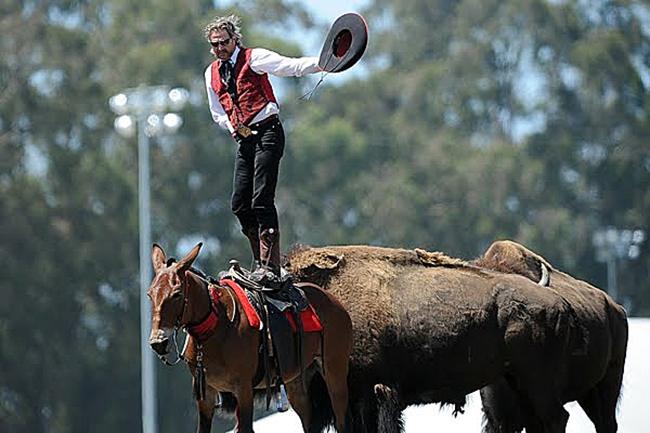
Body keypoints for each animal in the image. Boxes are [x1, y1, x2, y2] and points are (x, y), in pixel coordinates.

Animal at [147, 243, 352, 432]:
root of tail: (336, 303)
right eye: (150, 295)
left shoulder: (243, 389)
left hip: (334, 375)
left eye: (177, 294)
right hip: (298, 384)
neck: (216, 327)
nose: (158, 342)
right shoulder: (206, 395)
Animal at [470, 240, 628, 432]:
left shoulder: (547, 407)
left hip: (609, 382)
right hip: (587, 393)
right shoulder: (499, 416)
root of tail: (618, 310)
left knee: (606, 422)